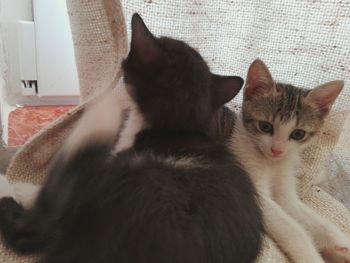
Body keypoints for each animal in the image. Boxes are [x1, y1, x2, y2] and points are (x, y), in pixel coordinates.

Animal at [231, 59, 348, 263]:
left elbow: (311, 218)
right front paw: (311, 257)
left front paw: (341, 244)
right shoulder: (254, 192)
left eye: (298, 134)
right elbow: (294, 230)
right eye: (265, 126)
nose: (277, 150)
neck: (272, 164)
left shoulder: (286, 192)